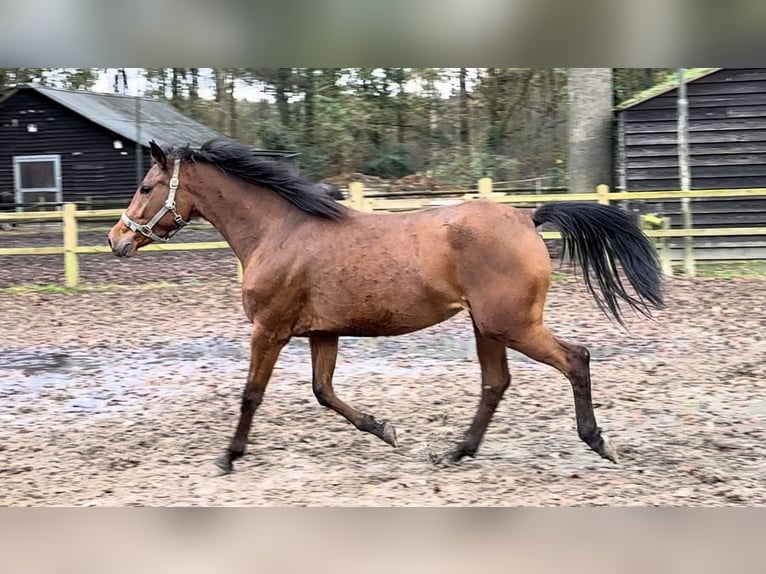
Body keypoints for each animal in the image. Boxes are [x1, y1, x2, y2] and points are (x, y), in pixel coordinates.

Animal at [108, 138, 664, 472]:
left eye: (145, 187)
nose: (117, 241)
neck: (279, 231)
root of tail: (526, 217)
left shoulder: (269, 330)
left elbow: (251, 395)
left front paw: (228, 456)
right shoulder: (322, 332)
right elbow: (324, 392)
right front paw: (387, 431)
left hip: (511, 324)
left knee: (576, 359)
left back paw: (598, 442)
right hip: (488, 326)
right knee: (495, 383)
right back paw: (456, 451)